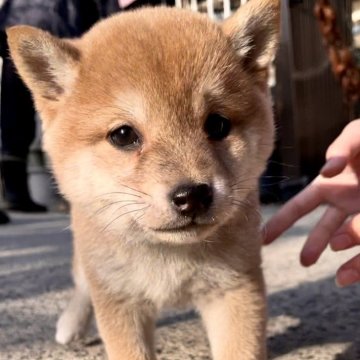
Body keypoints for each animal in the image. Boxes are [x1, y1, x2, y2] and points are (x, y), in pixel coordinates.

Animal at [7, 1, 280, 358]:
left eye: (218, 124)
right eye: (123, 135)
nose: (192, 195)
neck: (169, 255)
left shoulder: (234, 289)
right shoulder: (119, 300)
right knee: (81, 286)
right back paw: (71, 323)